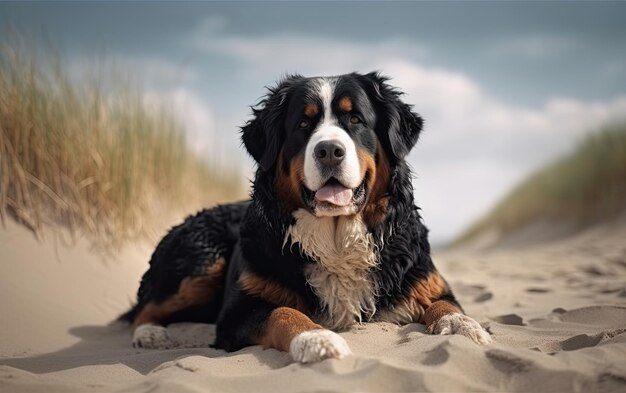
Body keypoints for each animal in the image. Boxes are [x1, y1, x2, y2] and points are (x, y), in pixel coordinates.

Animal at [119, 72, 490, 362]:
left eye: (355, 119)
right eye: (302, 124)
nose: (329, 151)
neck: (336, 240)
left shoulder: (428, 284)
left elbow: (448, 307)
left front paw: (466, 329)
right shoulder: (238, 311)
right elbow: (284, 313)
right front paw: (317, 339)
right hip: (202, 257)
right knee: (146, 308)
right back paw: (150, 335)